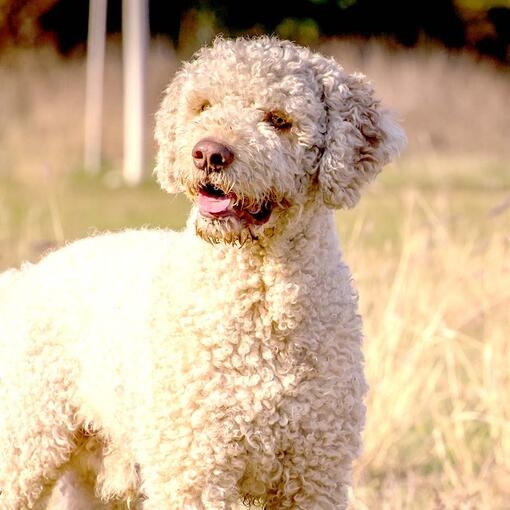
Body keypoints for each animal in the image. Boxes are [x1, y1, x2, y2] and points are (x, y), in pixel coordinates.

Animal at [0, 36, 406, 510]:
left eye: (278, 120)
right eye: (203, 106)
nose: (209, 153)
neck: (262, 309)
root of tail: (26, 275)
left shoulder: (314, 474)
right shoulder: (194, 469)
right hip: (25, 445)